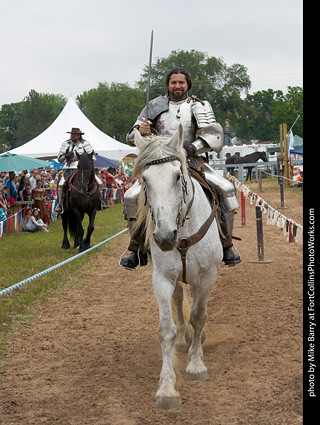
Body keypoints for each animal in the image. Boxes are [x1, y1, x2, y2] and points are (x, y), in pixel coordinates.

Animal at [132, 124, 222, 410]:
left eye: (176, 176)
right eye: (145, 179)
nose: (163, 237)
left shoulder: (207, 276)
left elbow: (199, 316)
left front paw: (196, 366)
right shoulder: (162, 279)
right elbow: (166, 331)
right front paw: (166, 389)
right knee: (181, 299)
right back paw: (185, 338)